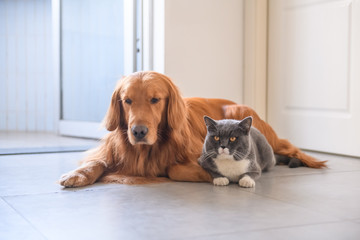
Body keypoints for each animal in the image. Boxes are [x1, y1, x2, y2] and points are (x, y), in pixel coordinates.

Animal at [59, 71, 326, 188]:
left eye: (155, 100)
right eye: (127, 100)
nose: (139, 132)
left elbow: (174, 168)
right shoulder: (111, 152)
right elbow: (96, 162)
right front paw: (77, 174)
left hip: (239, 111)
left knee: (290, 149)